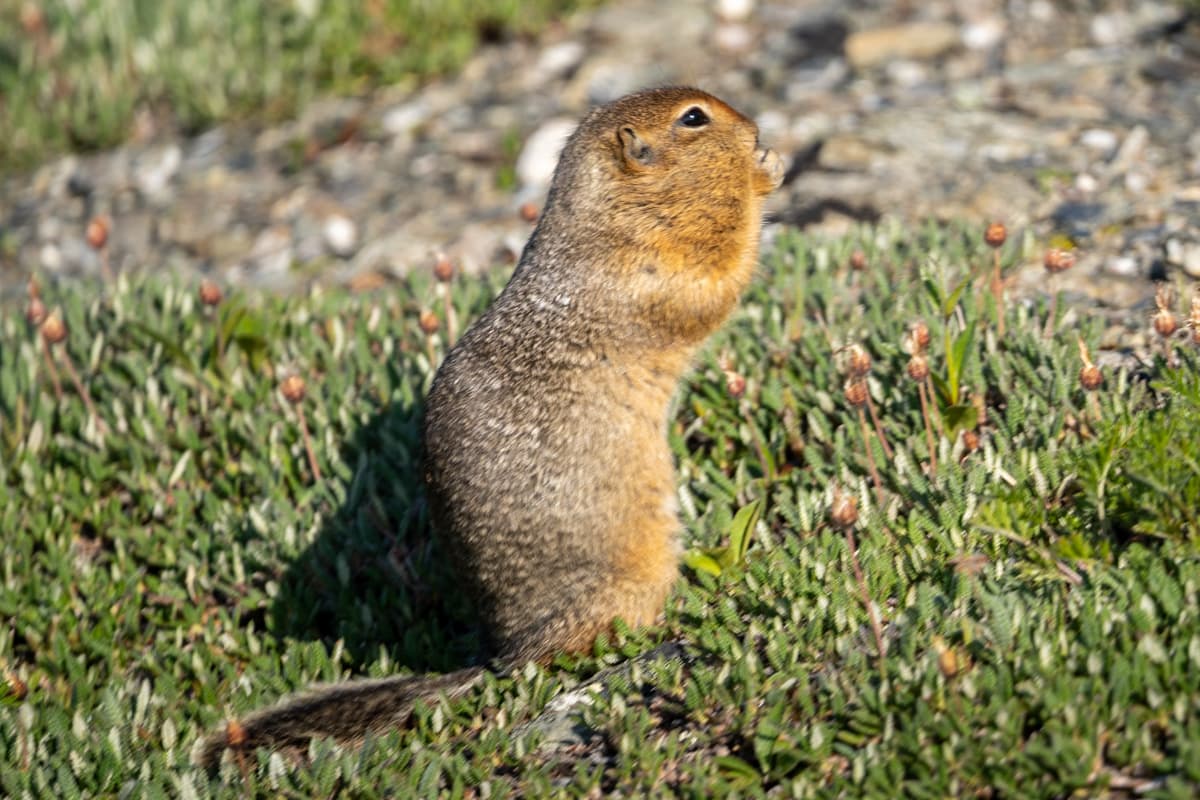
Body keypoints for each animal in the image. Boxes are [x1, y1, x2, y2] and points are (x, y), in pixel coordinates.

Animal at [197, 86, 783, 768]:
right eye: (694, 118)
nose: (755, 127)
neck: (609, 218)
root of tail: (505, 655)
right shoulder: (656, 273)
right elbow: (720, 279)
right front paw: (764, 173)